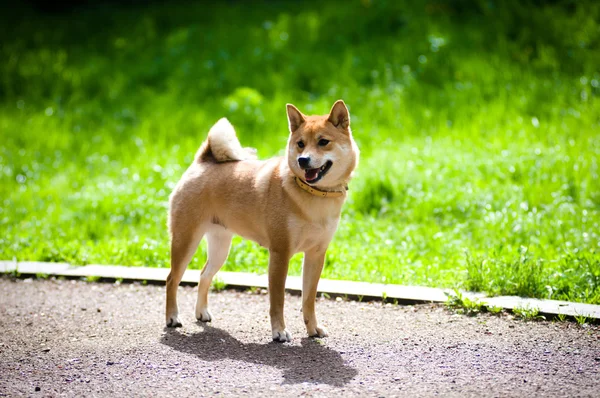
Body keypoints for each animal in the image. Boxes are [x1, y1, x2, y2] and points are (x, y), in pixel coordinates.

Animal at [165, 100, 360, 342]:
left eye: (323, 142)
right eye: (300, 144)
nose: (302, 160)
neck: (314, 196)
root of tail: (202, 162)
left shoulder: (316, 255)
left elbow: (308, 299)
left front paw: (313, 329)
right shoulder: (280, 254)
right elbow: (278, 301)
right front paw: (279, 331)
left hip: (220, 248)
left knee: (204, 275)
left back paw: (201, 313)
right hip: (186, 241)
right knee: (172, 279)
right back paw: (172, 317)